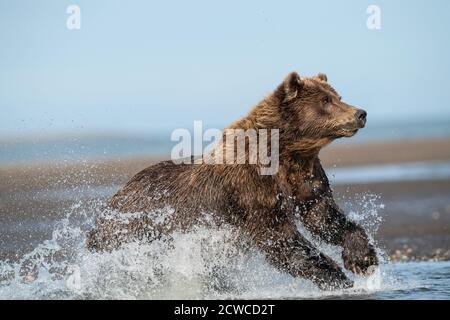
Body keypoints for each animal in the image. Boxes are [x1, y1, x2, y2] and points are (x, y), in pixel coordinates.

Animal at [86, 72, 378, 290]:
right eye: (326, 100)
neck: (286, 152)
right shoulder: (252, 186)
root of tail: (108, 205)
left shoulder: (305, 176)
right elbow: (277, 235)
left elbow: (322, 214)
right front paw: (336, 276)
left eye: (338, 96)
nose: (361, 113)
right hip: (135, 231)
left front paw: (361, 258)